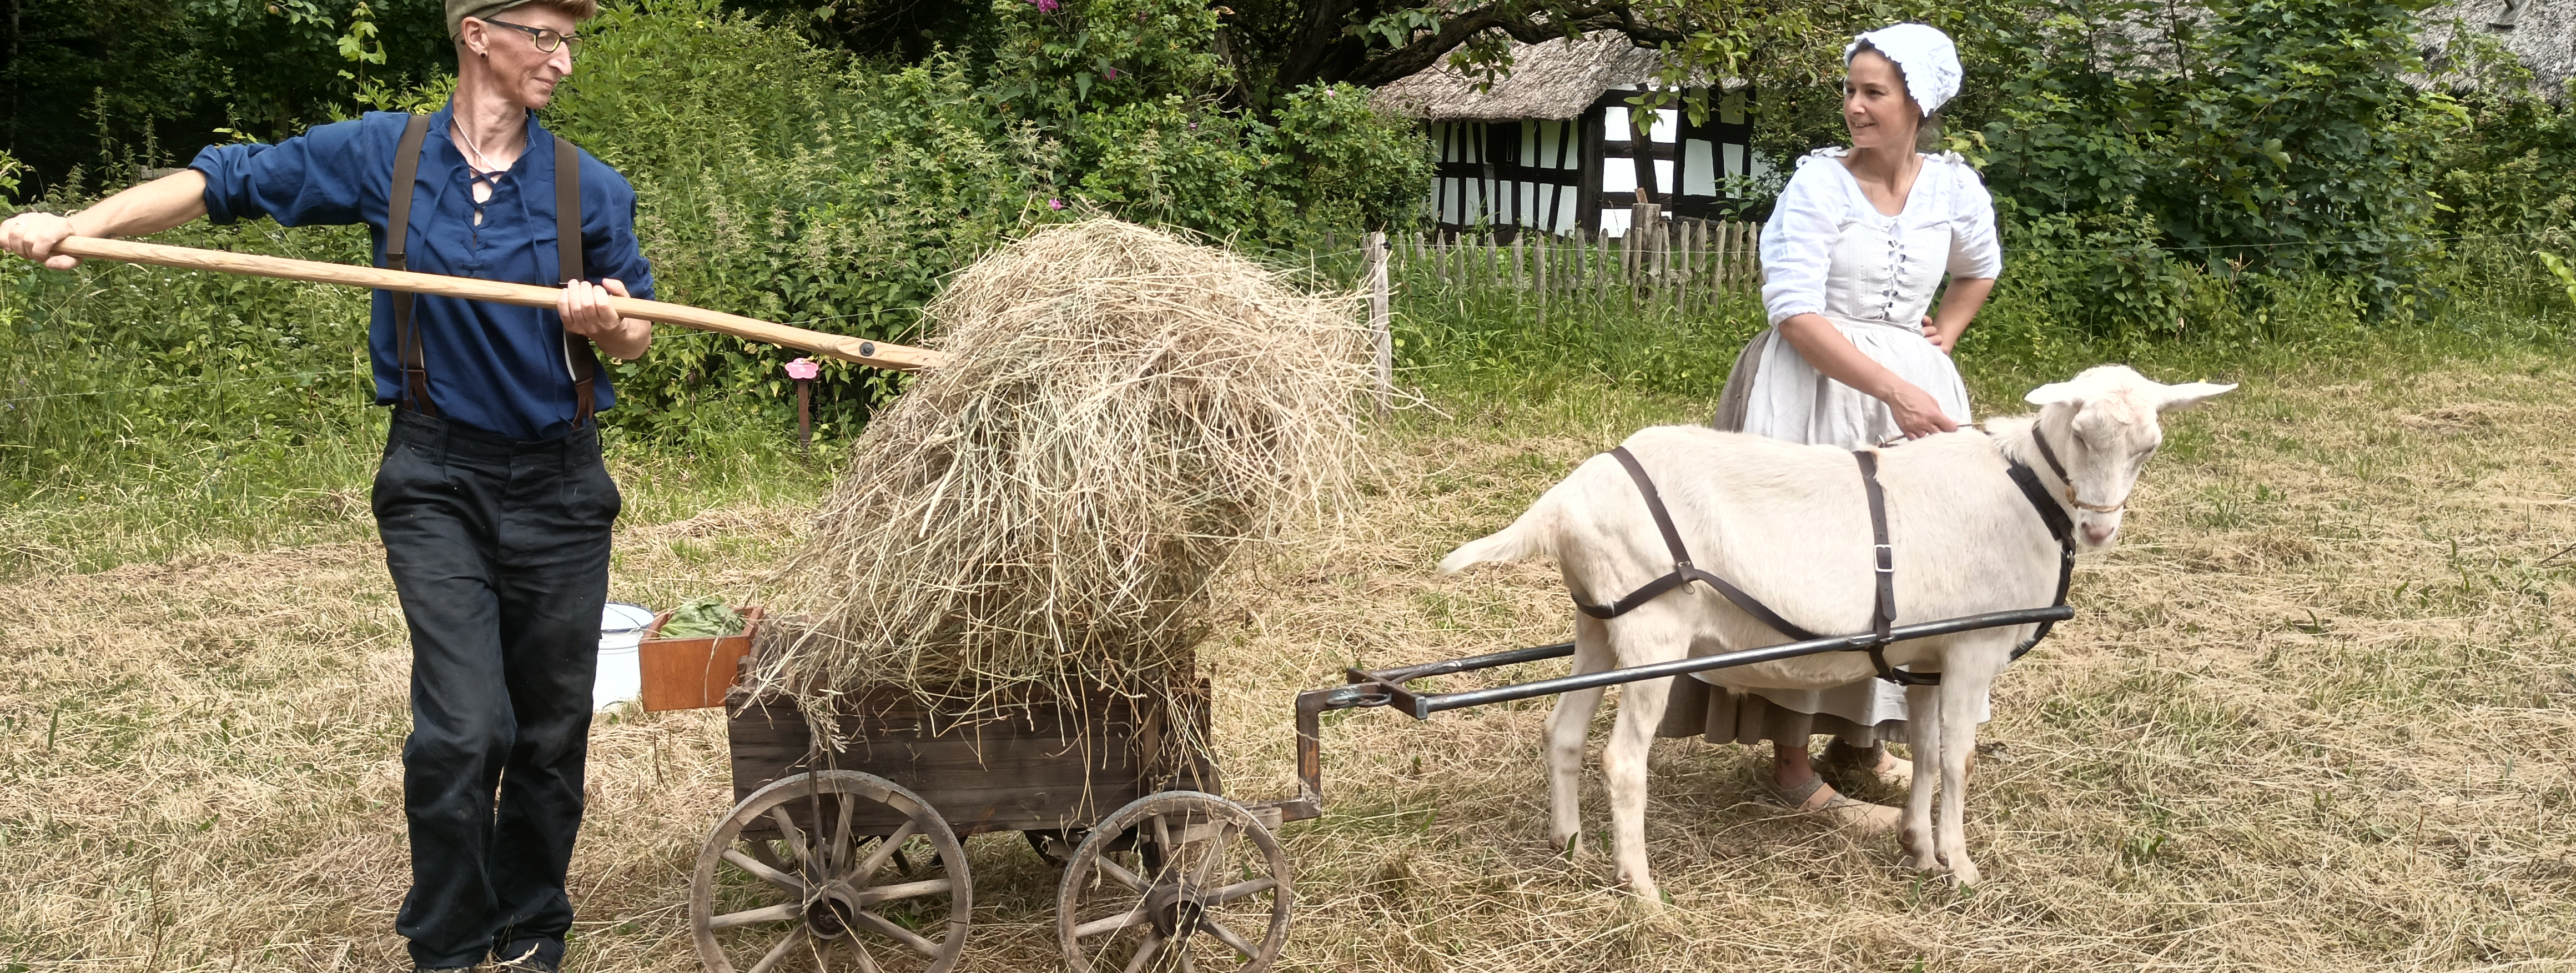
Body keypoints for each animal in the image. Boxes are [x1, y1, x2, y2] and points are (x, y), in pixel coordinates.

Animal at [1442, 365, 2225, 895]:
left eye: (2149, 448)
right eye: (2080, 433)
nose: (2097, 531)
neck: (2023, 488)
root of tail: (1561, 502)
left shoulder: (1926, 658)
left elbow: (1929, 753)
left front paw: (1917, 848)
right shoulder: (1972, 648)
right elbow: (1959, 760)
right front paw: (1961, 867)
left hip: (1599, 625)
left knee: (1562, 733)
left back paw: (1568, 845)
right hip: (1652, 635)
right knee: (1622, 760)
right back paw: (1640, 888)